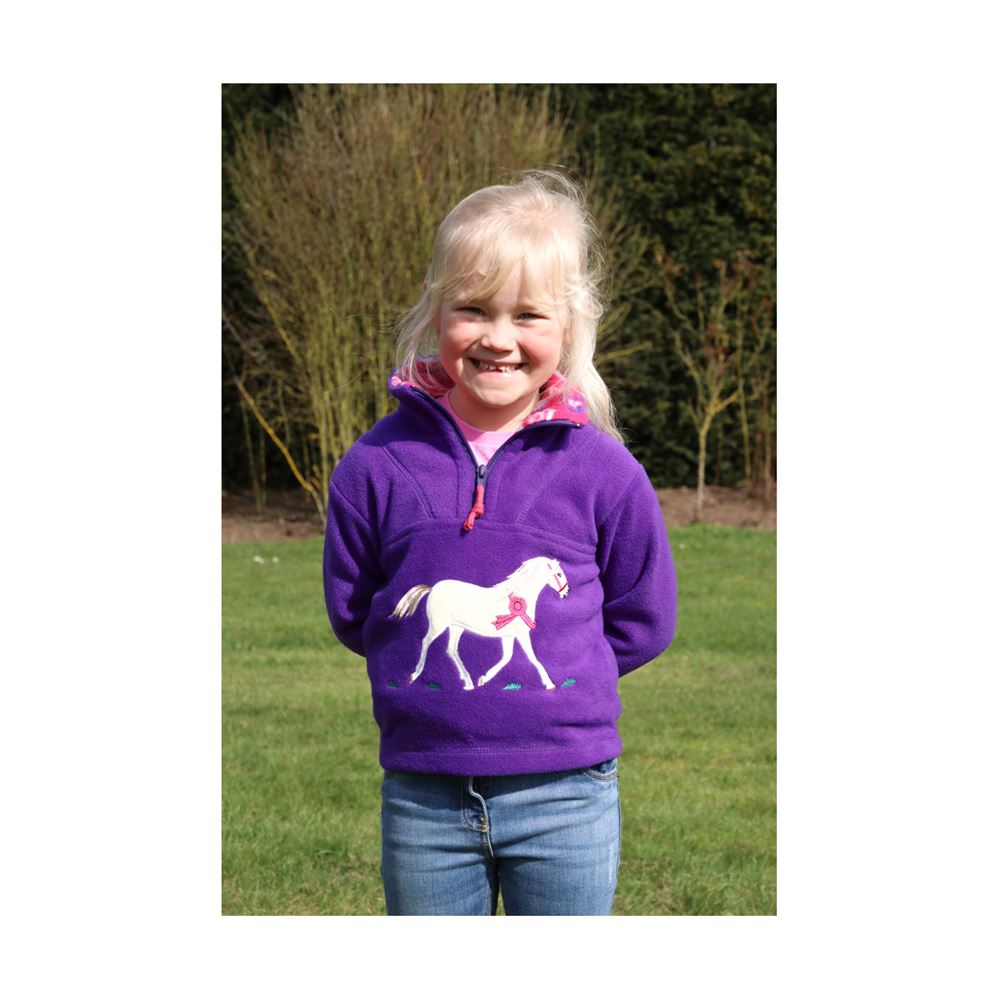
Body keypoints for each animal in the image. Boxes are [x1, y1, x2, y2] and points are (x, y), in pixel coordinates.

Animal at [389, 556, 570, 691]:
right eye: (559, 574)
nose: (566, 593)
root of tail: (433, 588)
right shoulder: (522, 634)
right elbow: (533, 658)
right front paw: (550, 684)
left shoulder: (508, 636)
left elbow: (507, 657)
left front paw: (483, 679)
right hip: (438, 625)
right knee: (426, 642)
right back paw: (415, 674)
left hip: (456, 627)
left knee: (451, 650)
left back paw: (469, 682)